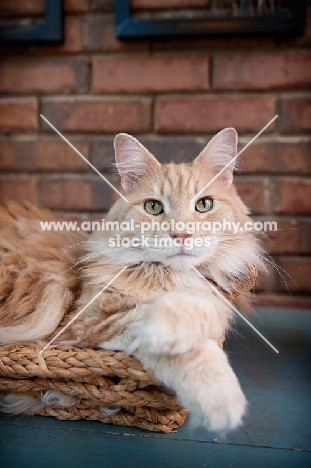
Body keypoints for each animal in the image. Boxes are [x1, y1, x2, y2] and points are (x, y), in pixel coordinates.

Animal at [0, 129, 264, 436]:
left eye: (204, 204)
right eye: (153, 207)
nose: (181, 234)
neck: (170, 278)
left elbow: (207, 309)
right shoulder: (89, 321)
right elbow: (174, 334)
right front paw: (220, 399)